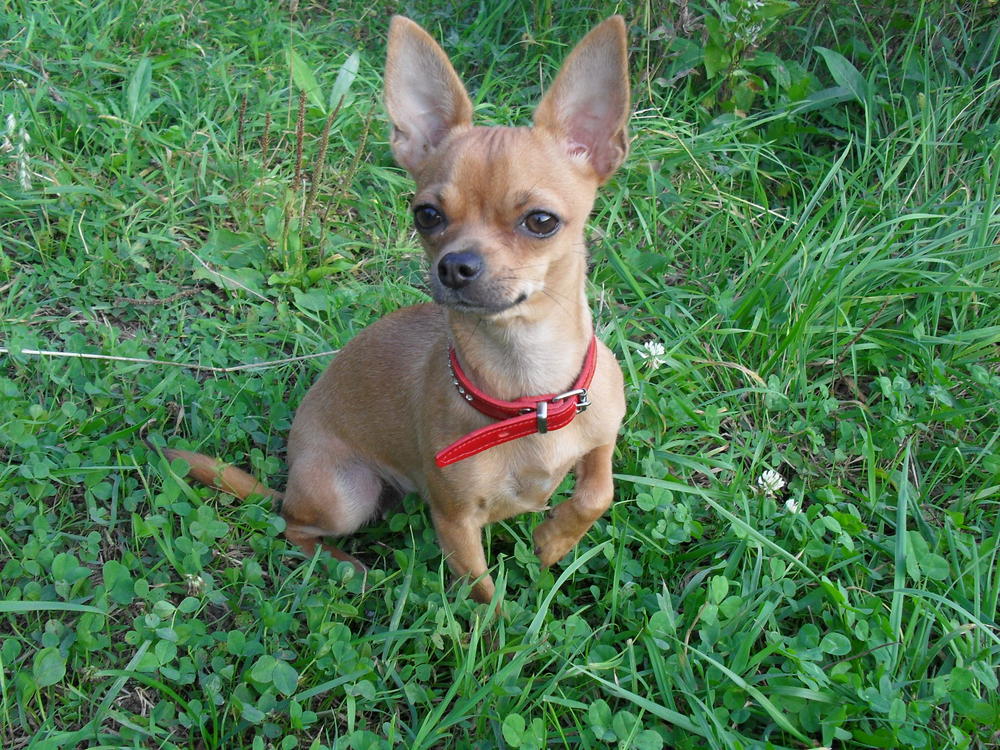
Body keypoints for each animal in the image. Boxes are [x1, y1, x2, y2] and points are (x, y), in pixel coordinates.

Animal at [161, 15, 629, 604]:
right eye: (426, 215)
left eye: (541, 222)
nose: (456, 265)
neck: (531, 392)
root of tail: (290, 480)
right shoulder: (454, 523)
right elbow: (484, 598)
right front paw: (508, 626)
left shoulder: (603, 432)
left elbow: (597, 491)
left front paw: (553, 541)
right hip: (346, 494)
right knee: (292, 526)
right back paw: (347, 568)